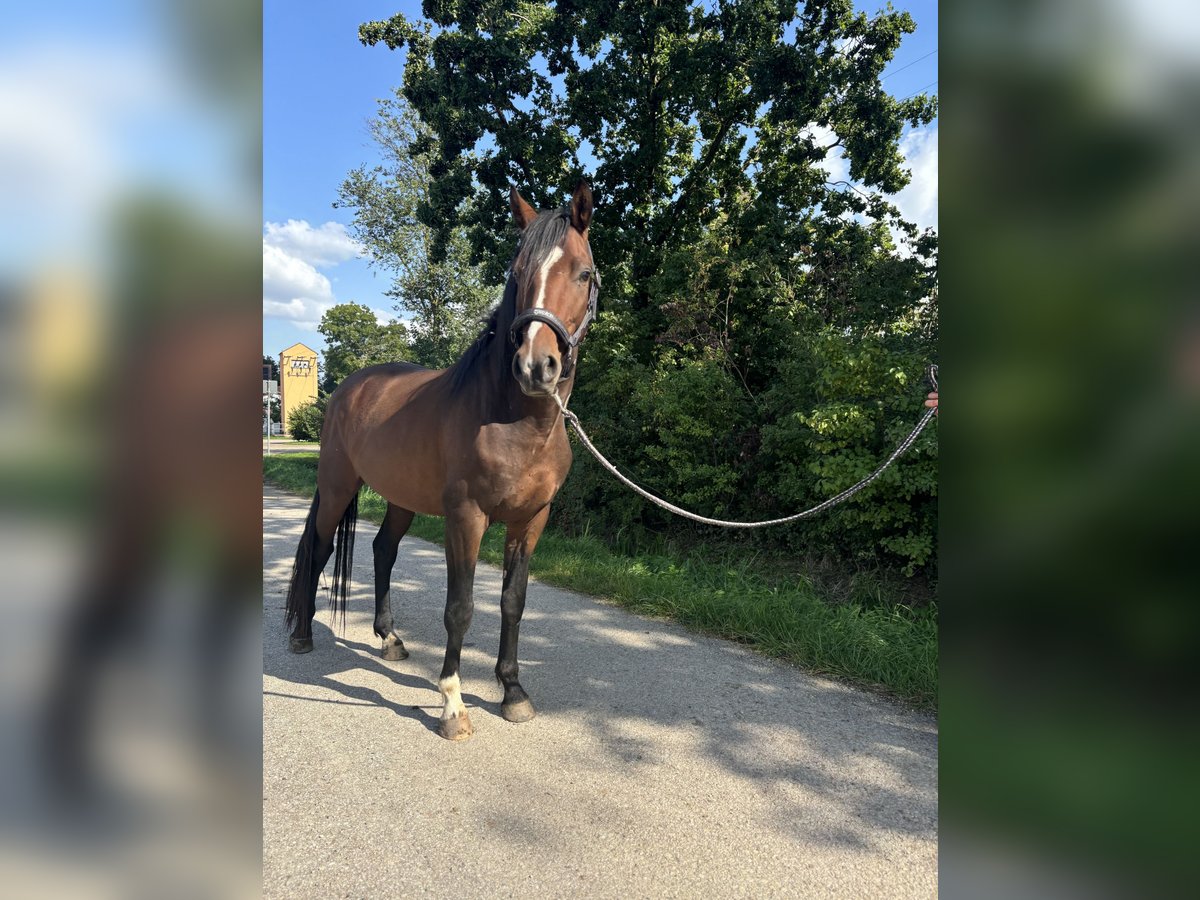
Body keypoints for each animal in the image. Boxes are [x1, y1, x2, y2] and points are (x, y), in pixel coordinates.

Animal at [282, 181, 600, 739]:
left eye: (582, 273)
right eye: (518, 273)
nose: (535, 367)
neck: (517, 421)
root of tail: (348, 387)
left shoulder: (531, 520)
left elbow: (512, 602)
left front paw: (513, 692)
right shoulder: (466, 517)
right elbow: (460, 608)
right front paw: (453, 704)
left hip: (400, 498)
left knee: (383, 551)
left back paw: (389, 639)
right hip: (339, 487)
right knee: (320, 550)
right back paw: (303, 634)